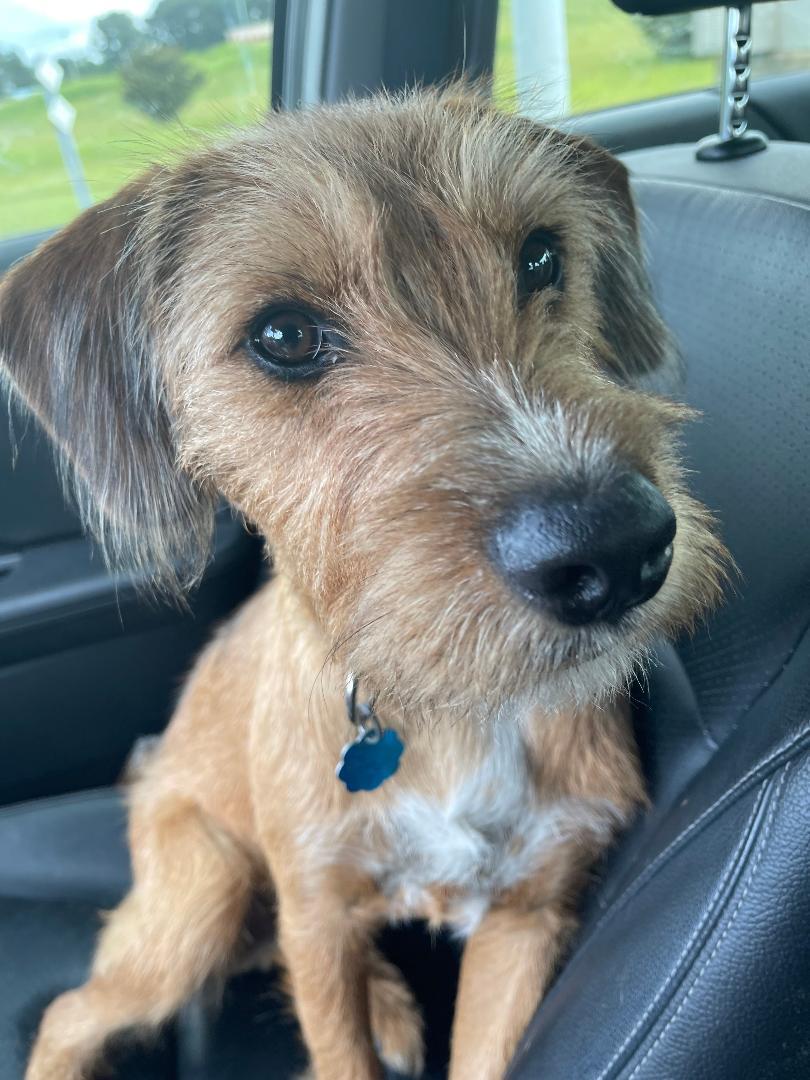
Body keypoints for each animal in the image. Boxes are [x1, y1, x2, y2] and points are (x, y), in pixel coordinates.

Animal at [0, 86, 721, 1080]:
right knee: (75, 1010)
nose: (618, 553)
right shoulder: (319, 912)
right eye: (284, 335)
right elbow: (333, 1036)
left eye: (541, 254)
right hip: (202, 891)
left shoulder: (529, 912)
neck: (449, 713)